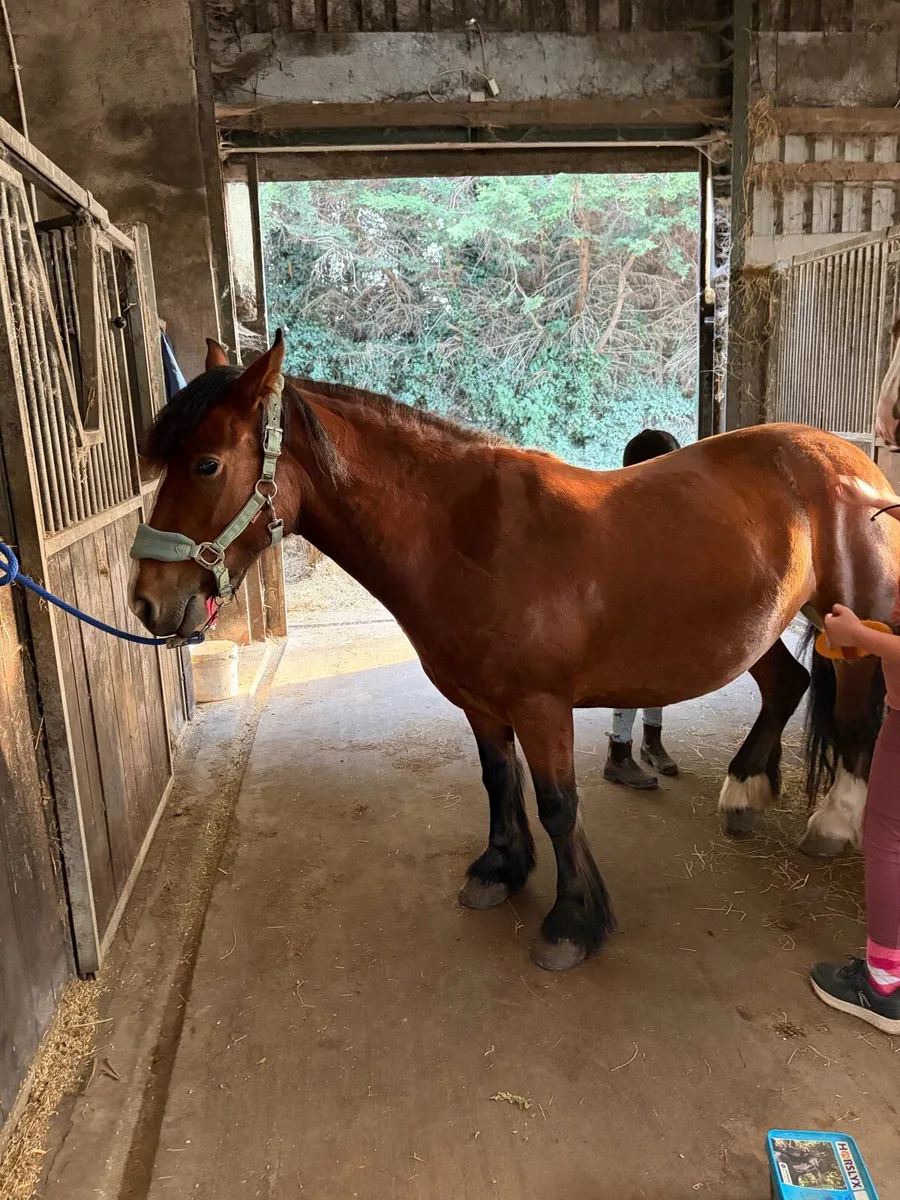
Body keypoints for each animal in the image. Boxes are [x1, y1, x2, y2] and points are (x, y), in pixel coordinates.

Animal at [128, 332, 900, 972]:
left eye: (205, 463)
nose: (145, 602)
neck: (470, 538)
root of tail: (850, 459)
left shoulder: (540, 704)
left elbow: (558, 804)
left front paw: (572, 923)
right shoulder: (479, 702)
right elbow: (499, 782)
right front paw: (499, 871)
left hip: (855, 622)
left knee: (859, 715)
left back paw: (833, 823)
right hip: (758, 627)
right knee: (787, 686)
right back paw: (745, 791)